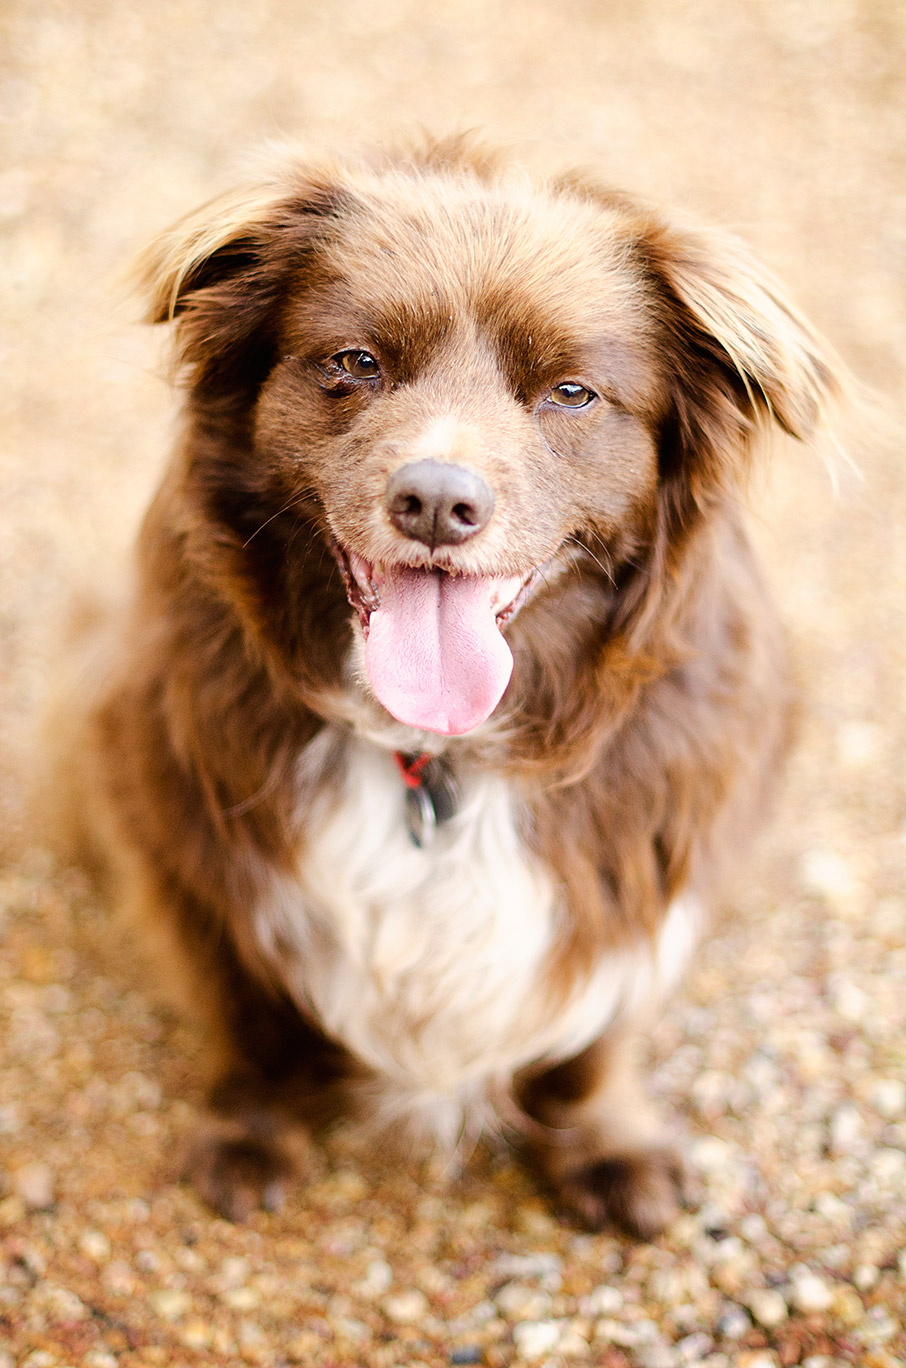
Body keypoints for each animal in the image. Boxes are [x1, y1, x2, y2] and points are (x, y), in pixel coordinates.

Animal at [56, 138, 843, 1242]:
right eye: (355, 363)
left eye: (571, 393)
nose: (436, 500)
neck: (439, 755)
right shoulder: (191, 841)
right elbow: (251, 1015)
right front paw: (248, 1132)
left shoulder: (647, 861)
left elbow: (596, 1036)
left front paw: (608, 1143)